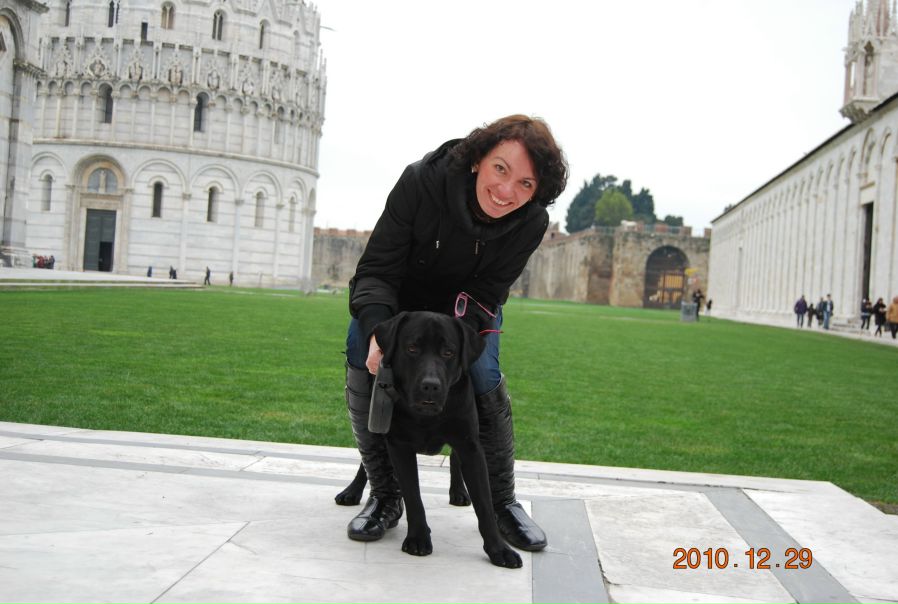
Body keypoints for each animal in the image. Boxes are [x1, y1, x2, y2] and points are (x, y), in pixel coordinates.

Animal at [338, 311, 522, 569]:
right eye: (412, 348)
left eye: (449, 352)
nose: (430, 386)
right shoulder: (399, 445)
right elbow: (413, 496)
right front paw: (418, 538)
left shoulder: (469, 444)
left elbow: (484, 504)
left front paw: (499, 549)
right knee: (368, 461)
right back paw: (354, 492)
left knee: (455, 459)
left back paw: (459, 492)